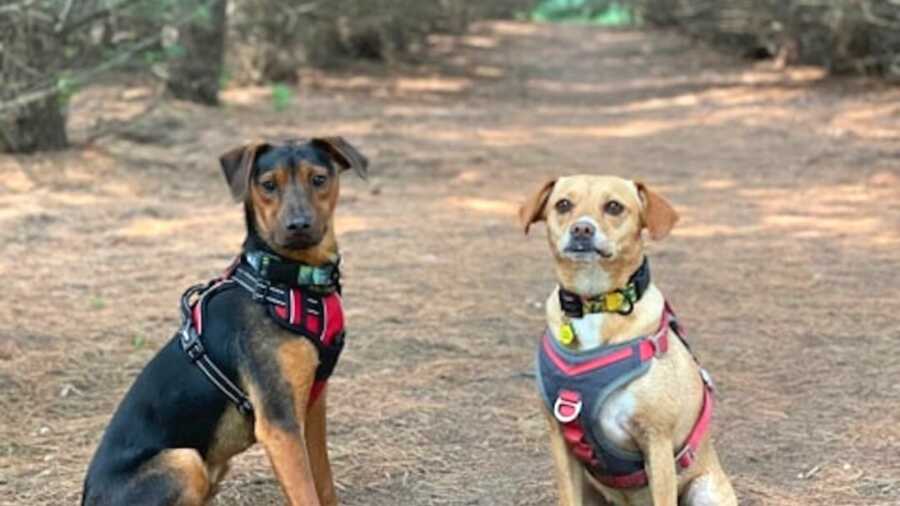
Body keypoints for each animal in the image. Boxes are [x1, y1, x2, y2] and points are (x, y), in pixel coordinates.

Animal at [81, 137, 370, 506]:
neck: (287, 279)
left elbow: (324, 484)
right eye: (268, 185)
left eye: (319, 179)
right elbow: (306, 494)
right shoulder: (279, 423)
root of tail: (87, 498)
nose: (298, 225)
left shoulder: (312, 408)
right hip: (185, 461)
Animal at [520, 175, 740, 506]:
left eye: (614, 207)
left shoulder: (657, 442)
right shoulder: (559, 439)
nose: (582, 229)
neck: (596, 304)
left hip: (705, 490)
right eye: (563, 204)